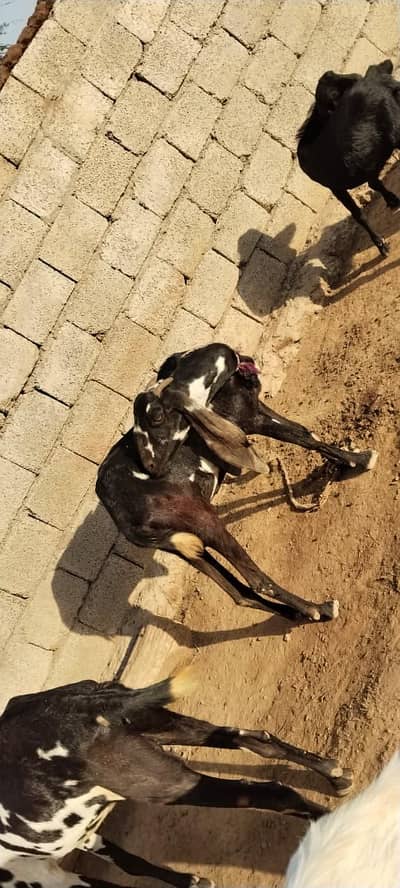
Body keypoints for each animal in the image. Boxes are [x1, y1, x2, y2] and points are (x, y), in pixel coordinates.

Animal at [0, 669, 353, 888]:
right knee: (256, 740)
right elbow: (129, 862)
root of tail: (86, 706)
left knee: (274, 794)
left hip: (168, 784)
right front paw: (193, 881)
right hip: (164, 727)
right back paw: (335, 774)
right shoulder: (82, 837)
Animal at [96, 343, 377, 625]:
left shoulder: (257, 409)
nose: (153, 465)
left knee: (239, 593)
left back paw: (301, 613)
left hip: (186, 546)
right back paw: (318, 608)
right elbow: (304, 437)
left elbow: (304, 432)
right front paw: (361, 459)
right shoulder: (252, 418)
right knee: (256, 580)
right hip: (204, 521)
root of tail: (120, 514)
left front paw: (349, 460)